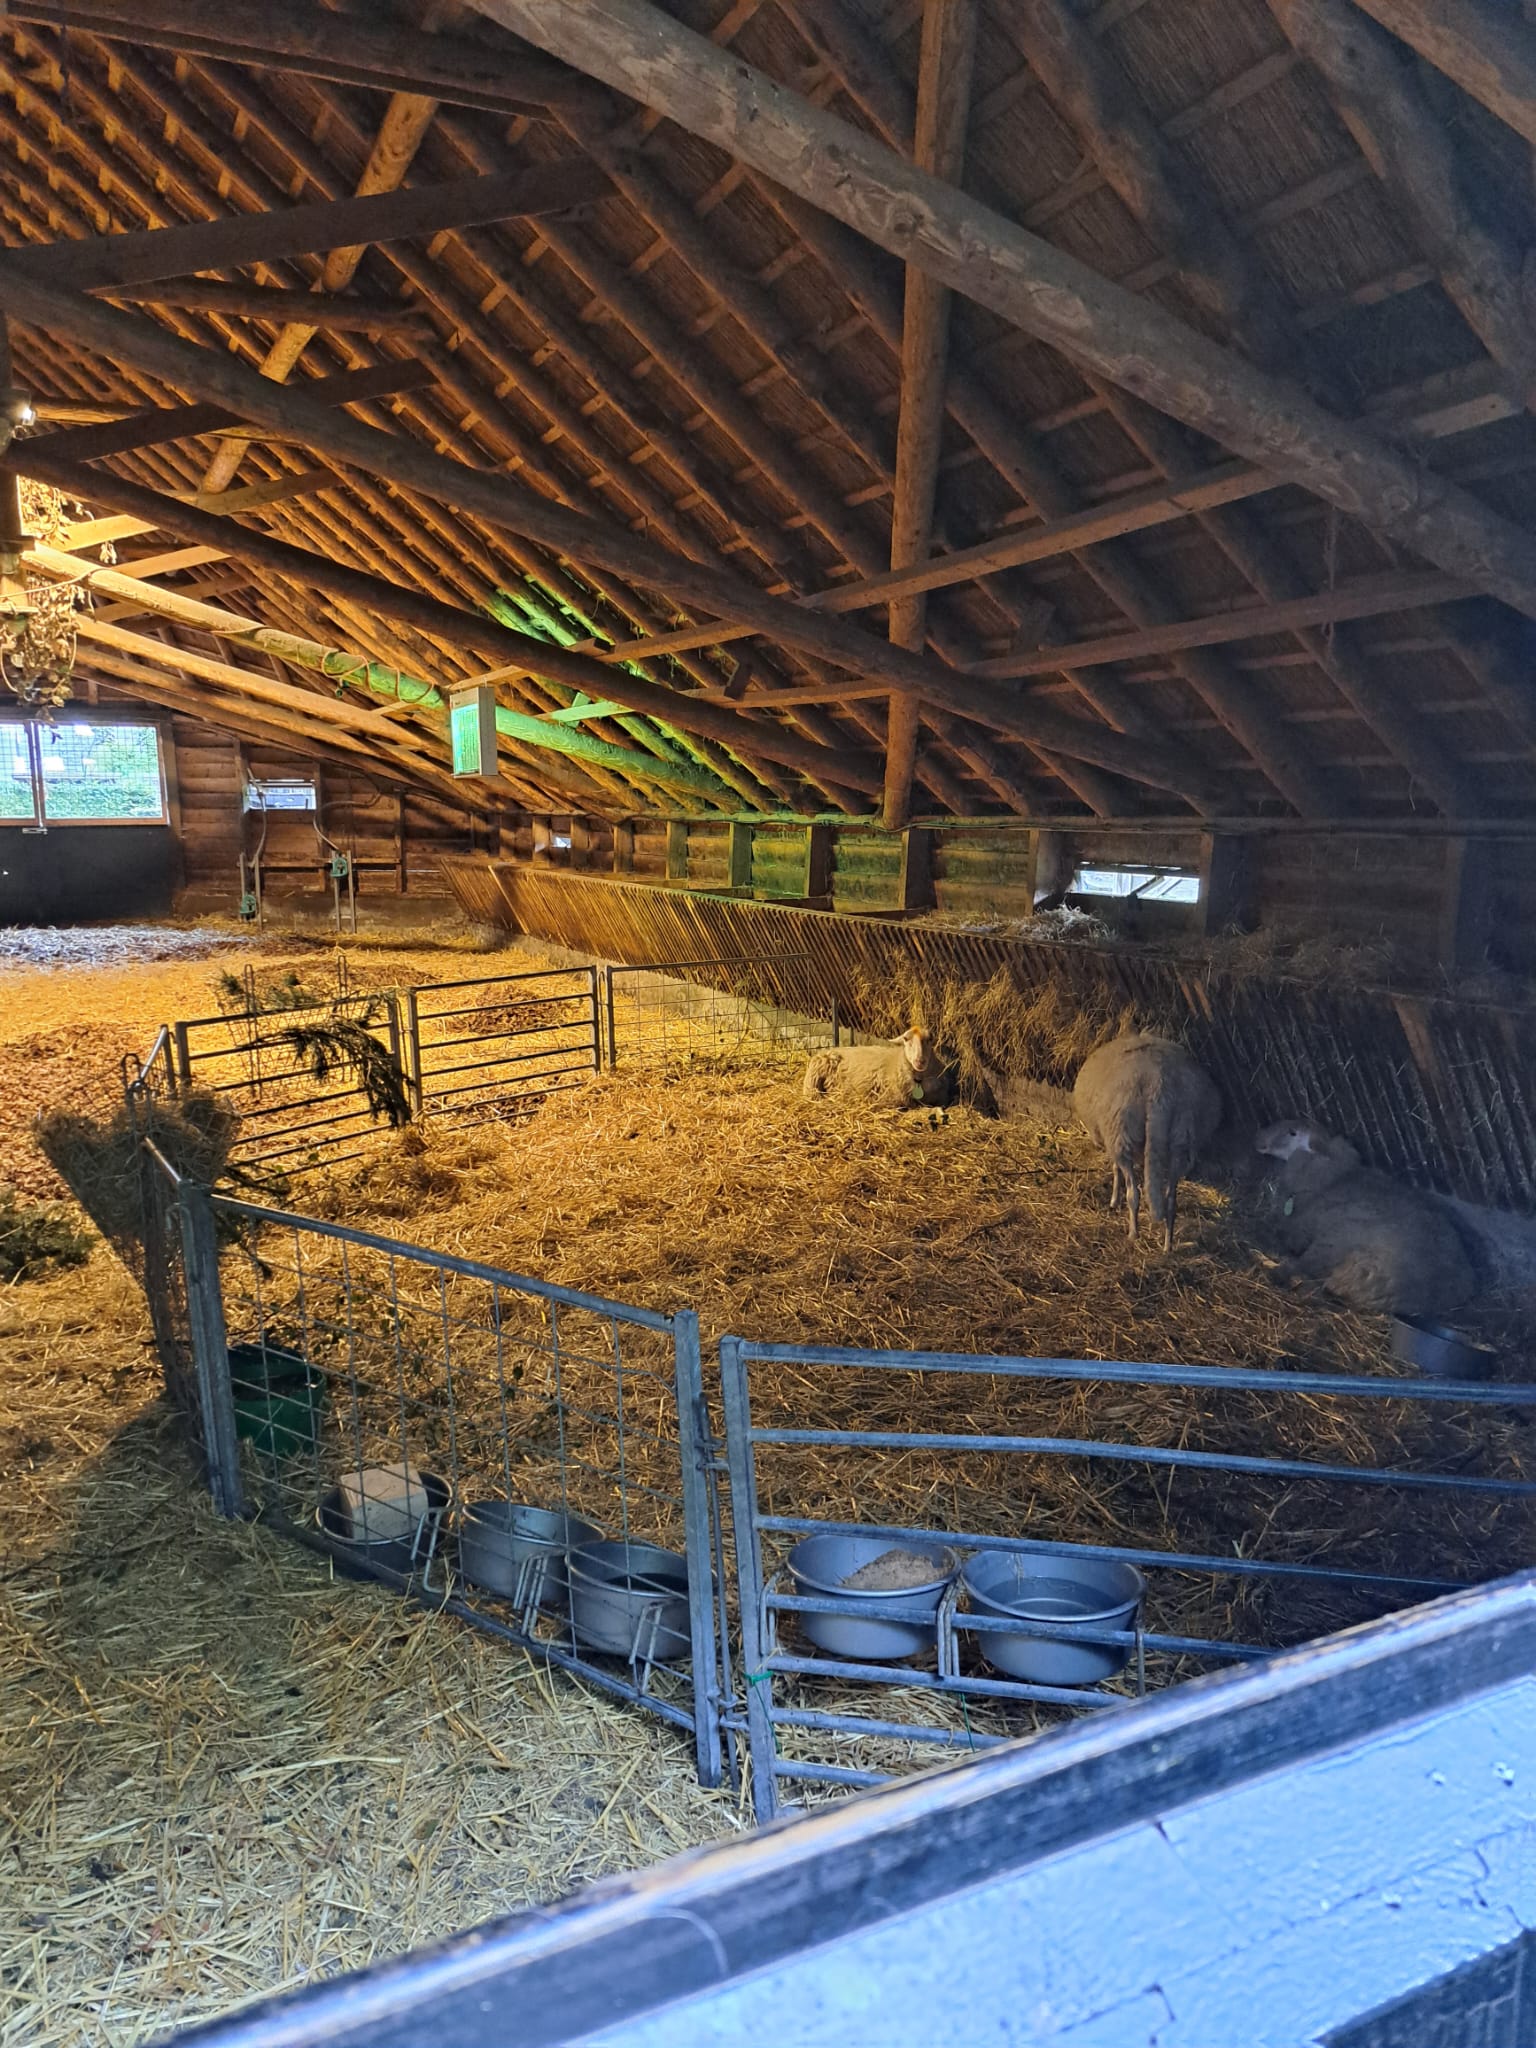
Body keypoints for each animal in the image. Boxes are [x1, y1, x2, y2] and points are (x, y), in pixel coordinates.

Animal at [1073, 1024, 1220, 1245]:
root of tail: (1157, 1086)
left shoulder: (1112, 1138)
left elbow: (1116, 1169)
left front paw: (1114, 1200)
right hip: (1181, 1137)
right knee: (1171, 1200)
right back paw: (1167, 1244)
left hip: (1121, 1133)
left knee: (1133, 1193)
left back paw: (1133, 1234)